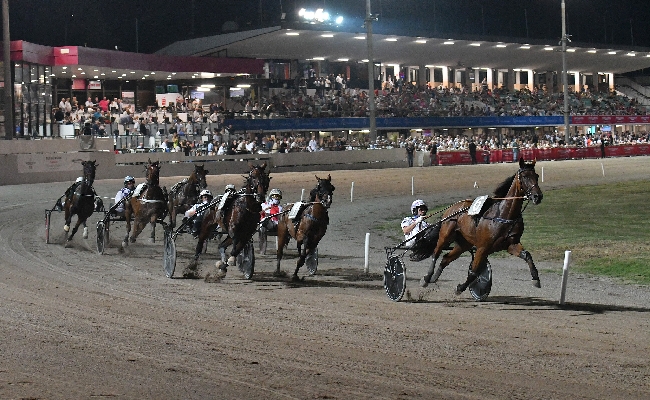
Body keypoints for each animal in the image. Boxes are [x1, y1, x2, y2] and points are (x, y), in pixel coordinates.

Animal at [416, 159, 540, 294]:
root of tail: (452, 208)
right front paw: (461, 287)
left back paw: (434, 278)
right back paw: (427, 278)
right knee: (436, 253)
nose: (538, 196)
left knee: (445, 258)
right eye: (525, 176)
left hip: (464, 243)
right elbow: (474, 272)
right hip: (445, 235)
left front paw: (536, 279)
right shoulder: (482, 247)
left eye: (537, 176)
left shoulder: (510, 244)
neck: (503, 215)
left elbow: (527, 255)